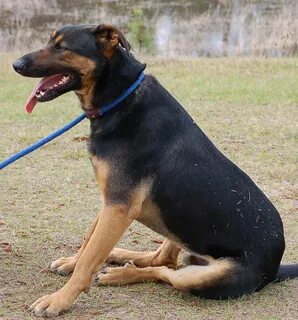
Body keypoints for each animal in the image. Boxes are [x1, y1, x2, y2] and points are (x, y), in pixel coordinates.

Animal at [12, 23, 298, 316]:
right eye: (50, 41)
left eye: (61, 47)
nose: (15, 64)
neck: (120, 98)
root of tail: (274, 268)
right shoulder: (111, 202)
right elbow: (89, 241)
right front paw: (72, 262)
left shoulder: (118, 206)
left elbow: (88, 260)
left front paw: (59, 299)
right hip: (179, 224)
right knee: (164, 258)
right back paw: (120, 255)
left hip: (203, 273)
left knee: (168, 272)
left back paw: (120, 274)